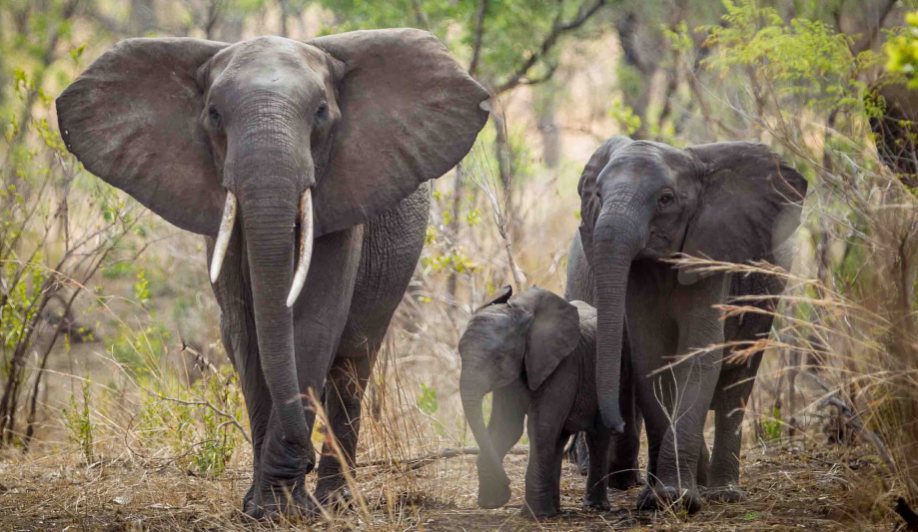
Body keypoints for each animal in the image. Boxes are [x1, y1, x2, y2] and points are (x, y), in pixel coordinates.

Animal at [56, 31, 488, 516]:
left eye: (320, 113)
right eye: (214, 114)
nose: (306, 458)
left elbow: (315, 324)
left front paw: (282, 508)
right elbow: (246, 332)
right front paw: (262, 507)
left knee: (354, 362)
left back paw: (337, 502)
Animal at [460, 286, 620, 520]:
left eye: (499, 357)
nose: (507, 484)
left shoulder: (564, 365)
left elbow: (540, 427)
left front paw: (532, 515)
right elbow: (507, 427)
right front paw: (492, 502)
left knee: (597, 436)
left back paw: (595, 507)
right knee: (559, 439)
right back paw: (555, 510)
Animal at [568, 135, 804, 512]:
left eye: (666, 199)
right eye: (598, 196)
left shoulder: (713, 251)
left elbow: (699, 353)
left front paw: (675, 499)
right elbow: (652, 358)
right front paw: (657, 500)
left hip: (768, 292)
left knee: (738, 378)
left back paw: (723, 493)